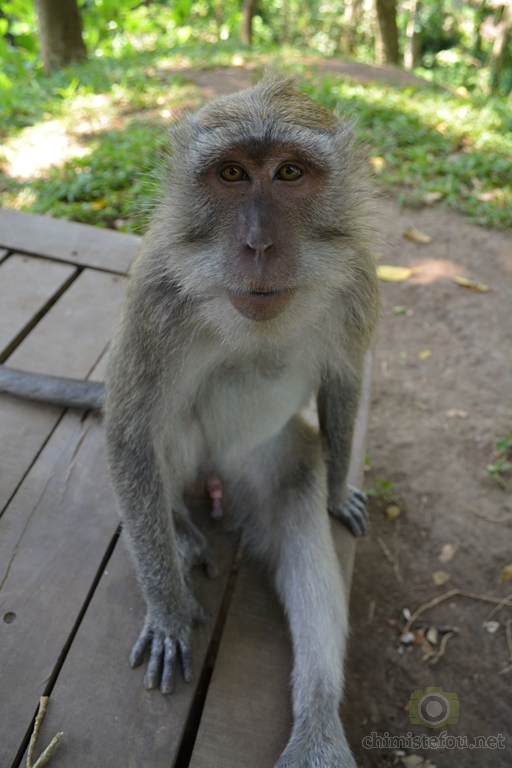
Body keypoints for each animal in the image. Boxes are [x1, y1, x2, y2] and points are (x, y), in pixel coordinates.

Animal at [0, 75, 379, 768]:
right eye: (231, 173)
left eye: (289, 172)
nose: (258, 246)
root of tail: (216, 482)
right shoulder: (155, 295)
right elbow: (129, 428)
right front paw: (169, 611)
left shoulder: (360, 279)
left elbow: (343, 382)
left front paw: (339, 491)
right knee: (160, 431)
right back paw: (176, 527)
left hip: (261, 460)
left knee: (298, 503)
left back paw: (317, 723)